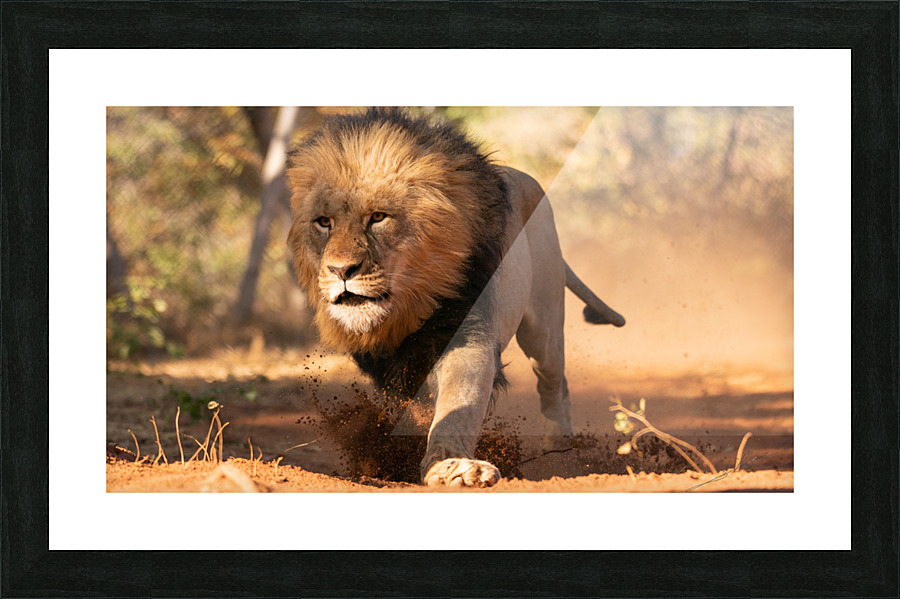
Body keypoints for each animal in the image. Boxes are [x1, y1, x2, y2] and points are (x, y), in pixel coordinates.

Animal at [286, 108, 624, 487]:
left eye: (377, 217)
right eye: (323, 222)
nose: (341, 270)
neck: (405, 310)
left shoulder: (464, 332)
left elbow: (457, 402)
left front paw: (454, 467)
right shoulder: (385, 366)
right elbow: (410, 407)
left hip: (544, 327)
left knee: (555, 383)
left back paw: (560, 449)